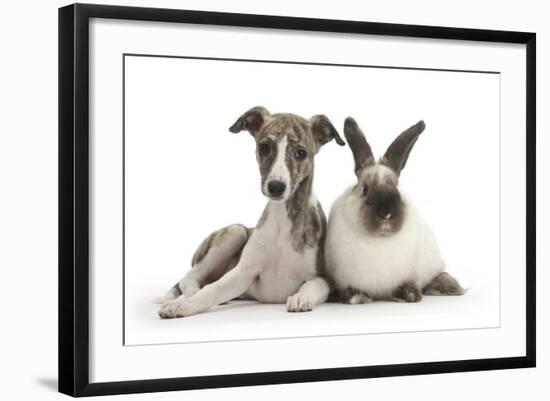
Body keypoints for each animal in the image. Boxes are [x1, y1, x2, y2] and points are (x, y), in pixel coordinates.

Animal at [156, 104, 344, 318]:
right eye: (264, 147)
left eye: (301, 153)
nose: (276, 186)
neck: (282, 220)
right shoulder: (243, 273)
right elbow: (214, 289)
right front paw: (185, 305)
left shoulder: (323, 277)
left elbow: (312, 286)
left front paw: (300, 298)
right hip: (235, 232)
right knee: (189, 278)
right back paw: (189, 294)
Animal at [328, 116, 466, 304]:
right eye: (365, 189)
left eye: (396, 189)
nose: (386, 213)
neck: (379, 240)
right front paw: (357, 297)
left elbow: (408, 283)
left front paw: (410, 295)